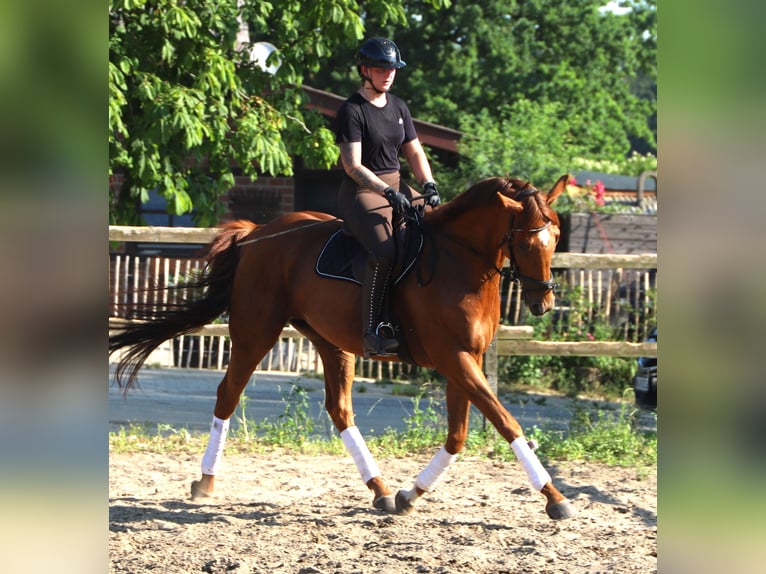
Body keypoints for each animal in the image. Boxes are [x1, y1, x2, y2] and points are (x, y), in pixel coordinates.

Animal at [109, 174, 576, 520]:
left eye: (555, 237)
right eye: (527, 241)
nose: (543, 302)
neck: (458, 260)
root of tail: (258, 232)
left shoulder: (468, 357)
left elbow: (459, 435)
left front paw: (410, 494)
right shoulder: (454, 357)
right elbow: (506, 422)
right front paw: (554, 498)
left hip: (331, 342)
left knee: (339, 409)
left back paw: (381, 489)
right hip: (257, 329)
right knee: (228, 393)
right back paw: (205, 482)